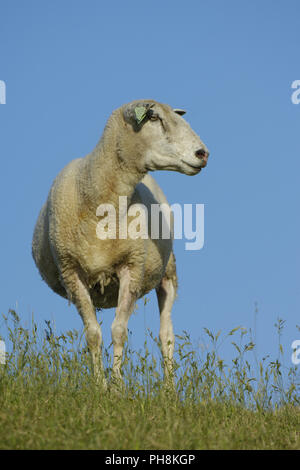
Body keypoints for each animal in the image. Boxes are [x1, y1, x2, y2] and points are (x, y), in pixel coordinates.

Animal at [31, 98, 209, 386]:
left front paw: (116, 386)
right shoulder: (71, 271)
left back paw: (169, 390)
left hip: (168, 272)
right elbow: (93, 334)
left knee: (167, 336)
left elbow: (118, 331)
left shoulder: (132, 268)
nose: (203, 153)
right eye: (153, 117)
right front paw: (99, 386)